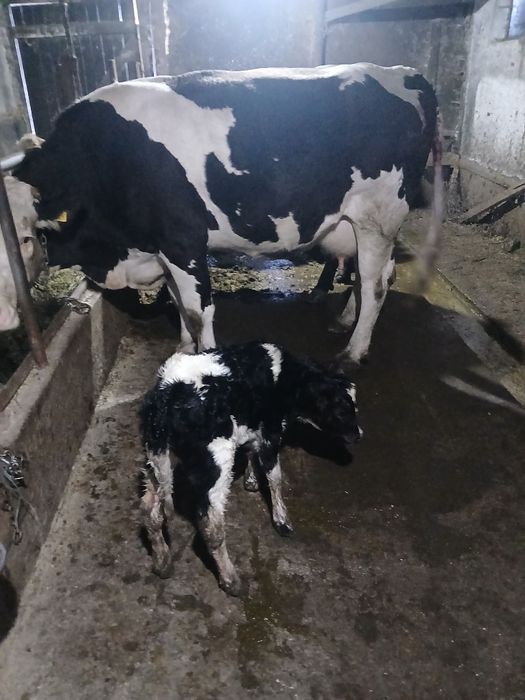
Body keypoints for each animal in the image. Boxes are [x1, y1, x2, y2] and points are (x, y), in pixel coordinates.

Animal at [4, 64, 443, 362]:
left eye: (24, 239)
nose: (5, 317)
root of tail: (401, 72)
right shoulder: (161, 249)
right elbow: (178, 303)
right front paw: (183, 349)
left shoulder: (183, 241)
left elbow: (198, 311)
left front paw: (202, 361)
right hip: (361, 224)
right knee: (374, 276)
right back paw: (345, 319)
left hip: (378, 217)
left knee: (375, 283)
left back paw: (354, 351)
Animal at [140, 341, 362, 595]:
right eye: (343, 408)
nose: (359, 435)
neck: (284, 377)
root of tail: (167, 396)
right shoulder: (271, 433)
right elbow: (275, 477)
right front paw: (282, 520)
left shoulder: (253, 428)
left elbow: (251, 453)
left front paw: (252, 480)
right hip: (217, 463)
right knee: (210, 526)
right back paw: (231, 581)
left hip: (157, 459)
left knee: (150, 510)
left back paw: (162, 562)